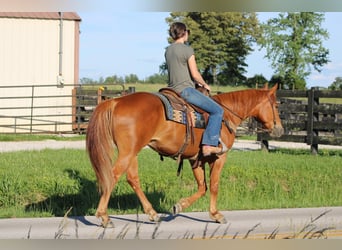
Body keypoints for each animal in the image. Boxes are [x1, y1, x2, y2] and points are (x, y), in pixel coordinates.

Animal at [85, 83, 284, 227]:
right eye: (275, 105)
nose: (280, 129)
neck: (226, 115)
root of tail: (116, 102)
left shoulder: (195, 160)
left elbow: (203, 187)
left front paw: (179, 205)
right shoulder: (219, 157)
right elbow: (214, 186)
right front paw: (216, 215)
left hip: (132, 152)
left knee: (132, 179)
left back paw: (152, 214)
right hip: (128, 152)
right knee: (112, 176)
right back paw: (104, 216)